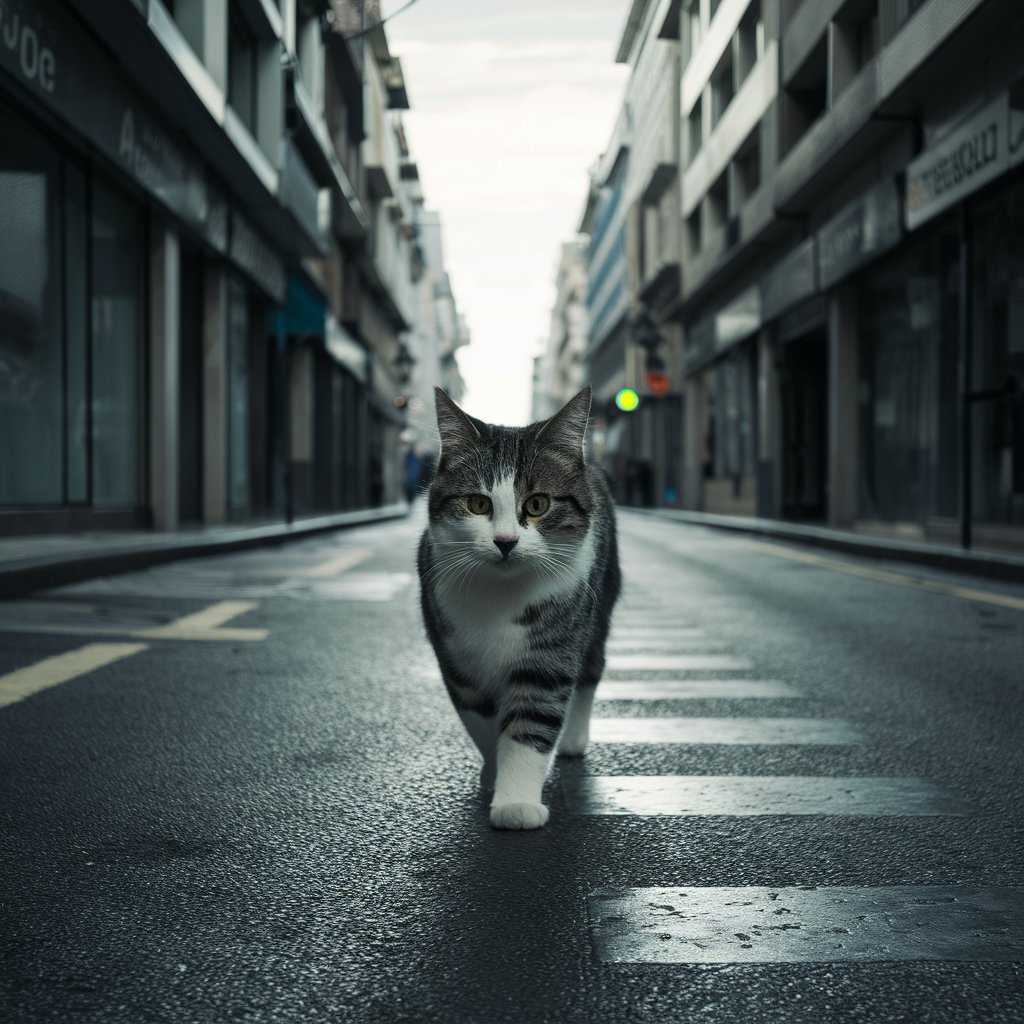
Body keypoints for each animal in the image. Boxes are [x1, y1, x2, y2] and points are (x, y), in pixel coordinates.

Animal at [417, 387, 622, 827]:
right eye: (478, 504)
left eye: (537, 504)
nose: (505, 541)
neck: (502, 591)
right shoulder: (455, 654)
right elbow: (479, 716)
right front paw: (495, 771)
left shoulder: (553, 644)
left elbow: (532, 717)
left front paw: (516, 803)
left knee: (592, 666)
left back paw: (573, 738)